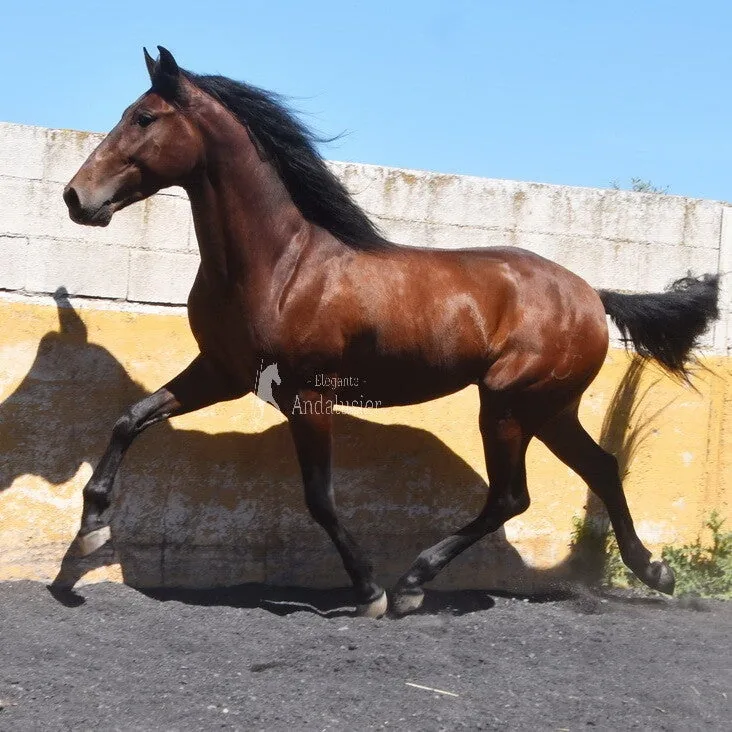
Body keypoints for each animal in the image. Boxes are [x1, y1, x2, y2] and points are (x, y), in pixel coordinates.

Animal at [62, 46, 719, 617]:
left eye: (144, 117)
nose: (76, 197)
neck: (281, 265)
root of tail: (591, 294)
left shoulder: (309, 395)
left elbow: (320, 498)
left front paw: (369, 591)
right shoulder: (220, 372)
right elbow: (130, 418)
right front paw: (86, 539)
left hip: (507, 404)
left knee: (511, 497)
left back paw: (410, 585)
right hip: (549, 408)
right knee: (601, 467)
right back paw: (654, 570)